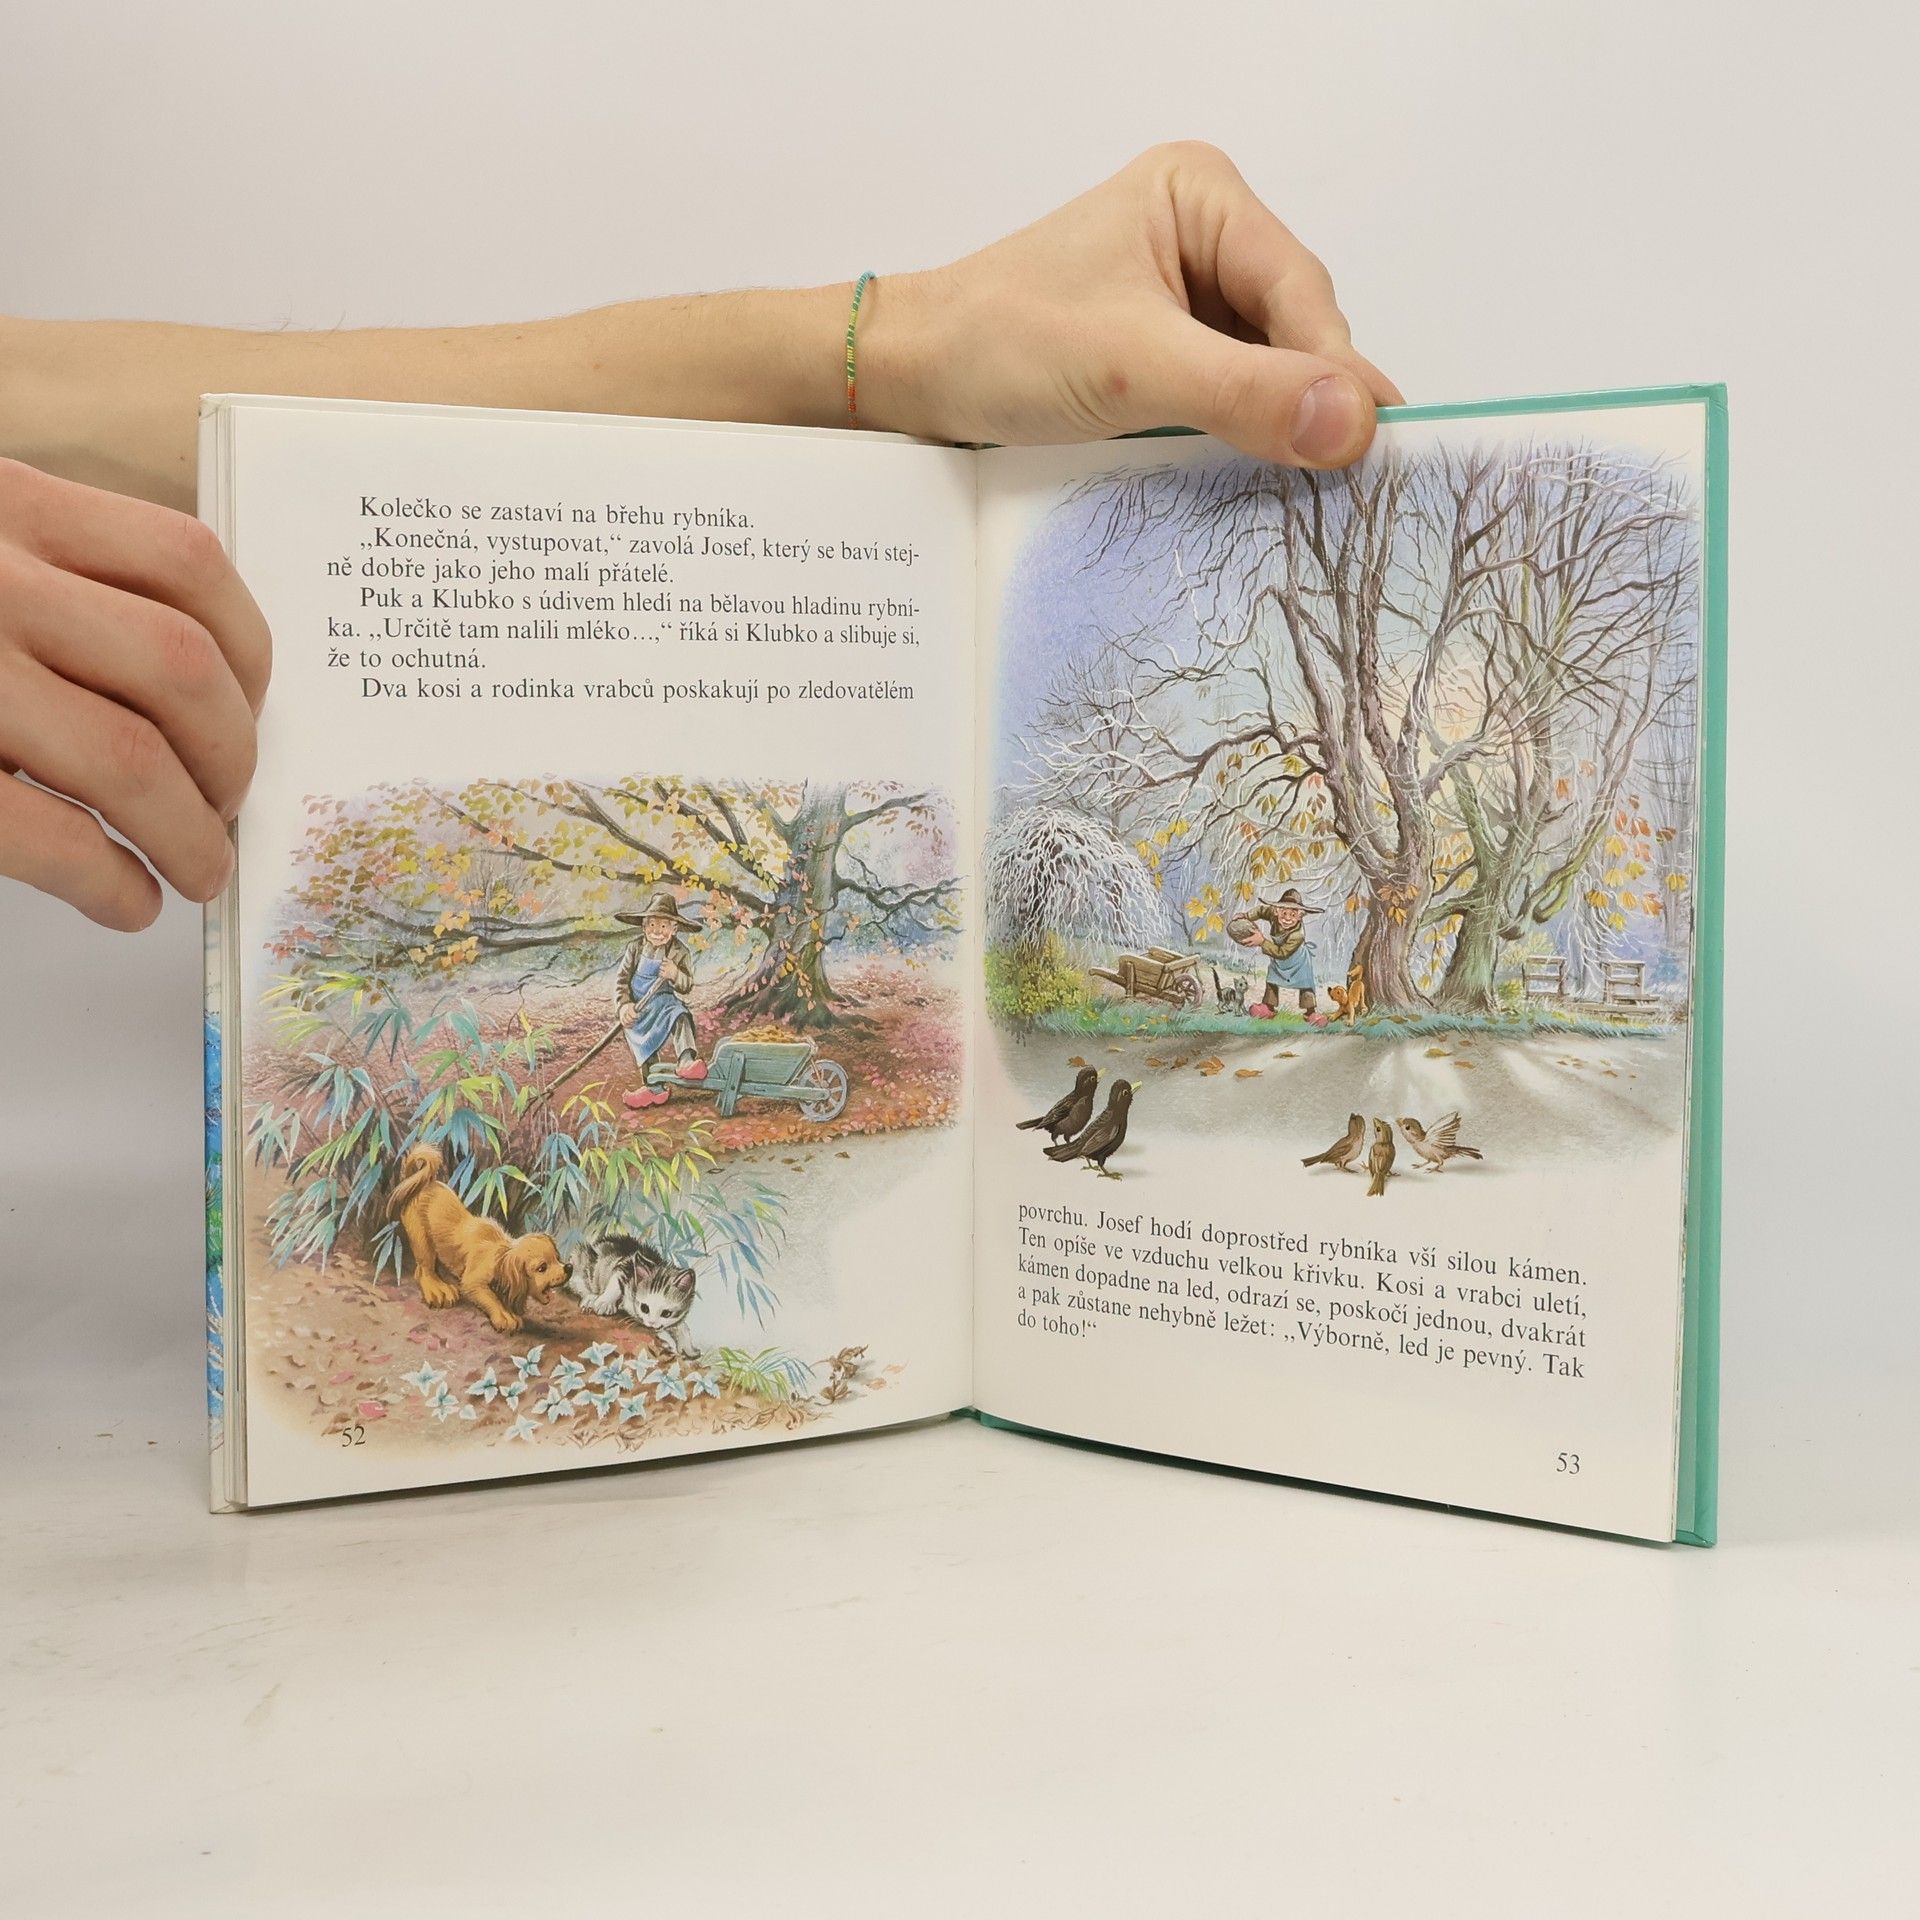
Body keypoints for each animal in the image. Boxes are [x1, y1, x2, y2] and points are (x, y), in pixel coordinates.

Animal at [386, 1144, 570, 1334]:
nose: (569, 1268)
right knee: (424, 1269)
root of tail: (421, 1185)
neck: (500, 1254)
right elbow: (490, 1297)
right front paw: (504, 1317)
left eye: (557, 1258)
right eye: (542, 1268)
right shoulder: (473, 1281)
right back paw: (437, 1290)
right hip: (422, 1239)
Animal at [568, 1233, 698, 1354]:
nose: (652, 1323)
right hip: (582, 1258)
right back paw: (590, 1298)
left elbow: (682, 1326)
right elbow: (616, 1283)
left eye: (666, 1313)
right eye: (644, 1308)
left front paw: (688, 1349)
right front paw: (605, 1303)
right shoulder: (625, 1266)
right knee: (576, 1280)